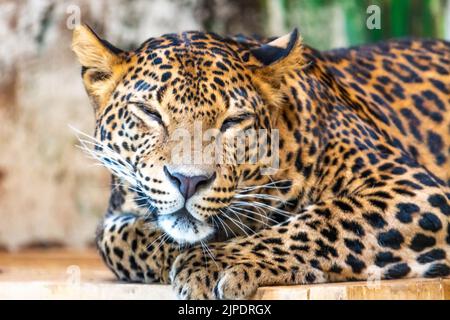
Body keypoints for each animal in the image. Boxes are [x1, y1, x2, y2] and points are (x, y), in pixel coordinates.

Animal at [71, 25, 450, 300]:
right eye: (149, 112)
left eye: (233, 121)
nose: (189, 181)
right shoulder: (117, 212)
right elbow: (120, 239)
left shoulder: (412, 188)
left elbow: (321, 223)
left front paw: (213, 263)